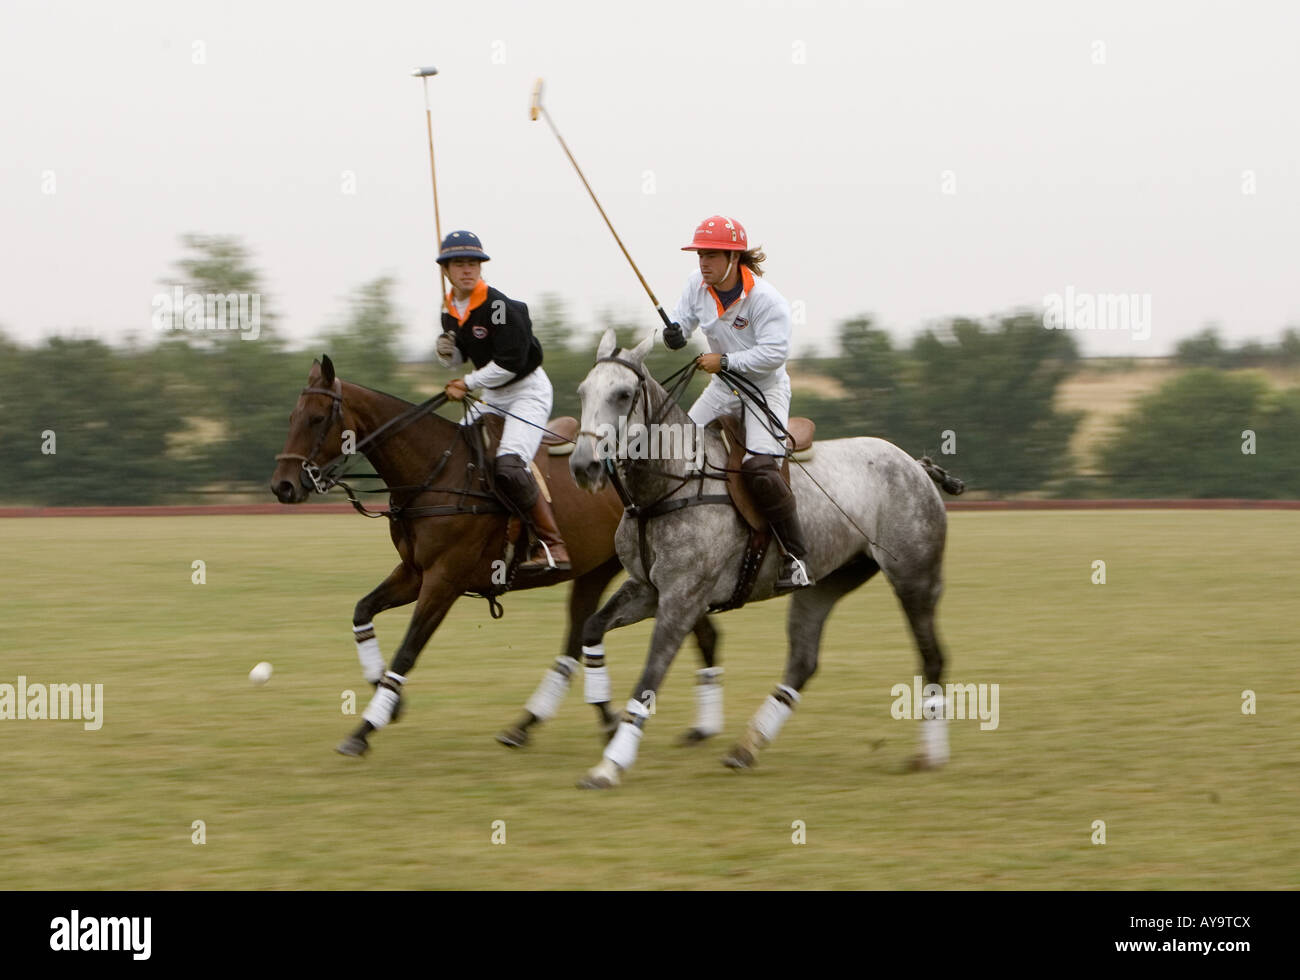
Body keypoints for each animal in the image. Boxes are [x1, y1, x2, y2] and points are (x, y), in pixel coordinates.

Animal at [267, 356, 722, 753]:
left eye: (316, 418)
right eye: (290, 417)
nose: (283, 486)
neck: (435, 471)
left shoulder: (444, 580)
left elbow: (408, 651)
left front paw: (364, 730)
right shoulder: (414, 572)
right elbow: (362, 611)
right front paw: (389, 702)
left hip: (658, 573)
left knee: (695, 633)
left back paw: (697, 726)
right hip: (599, 570)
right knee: (580, 636)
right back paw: (543, 724)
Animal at [569, 328, 967, 785]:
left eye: (622, 394)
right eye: (582, 392)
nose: (582, 466)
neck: (668, 485)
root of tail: (914, 464)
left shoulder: (682, 599)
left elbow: (650, 675)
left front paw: (609, 764)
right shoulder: (647, 589)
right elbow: (592, 629)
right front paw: (606, 720)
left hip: (915, 577)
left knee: (932, 656)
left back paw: (931, 756)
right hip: (827, 582)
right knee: (803, 661)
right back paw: (746, 747)